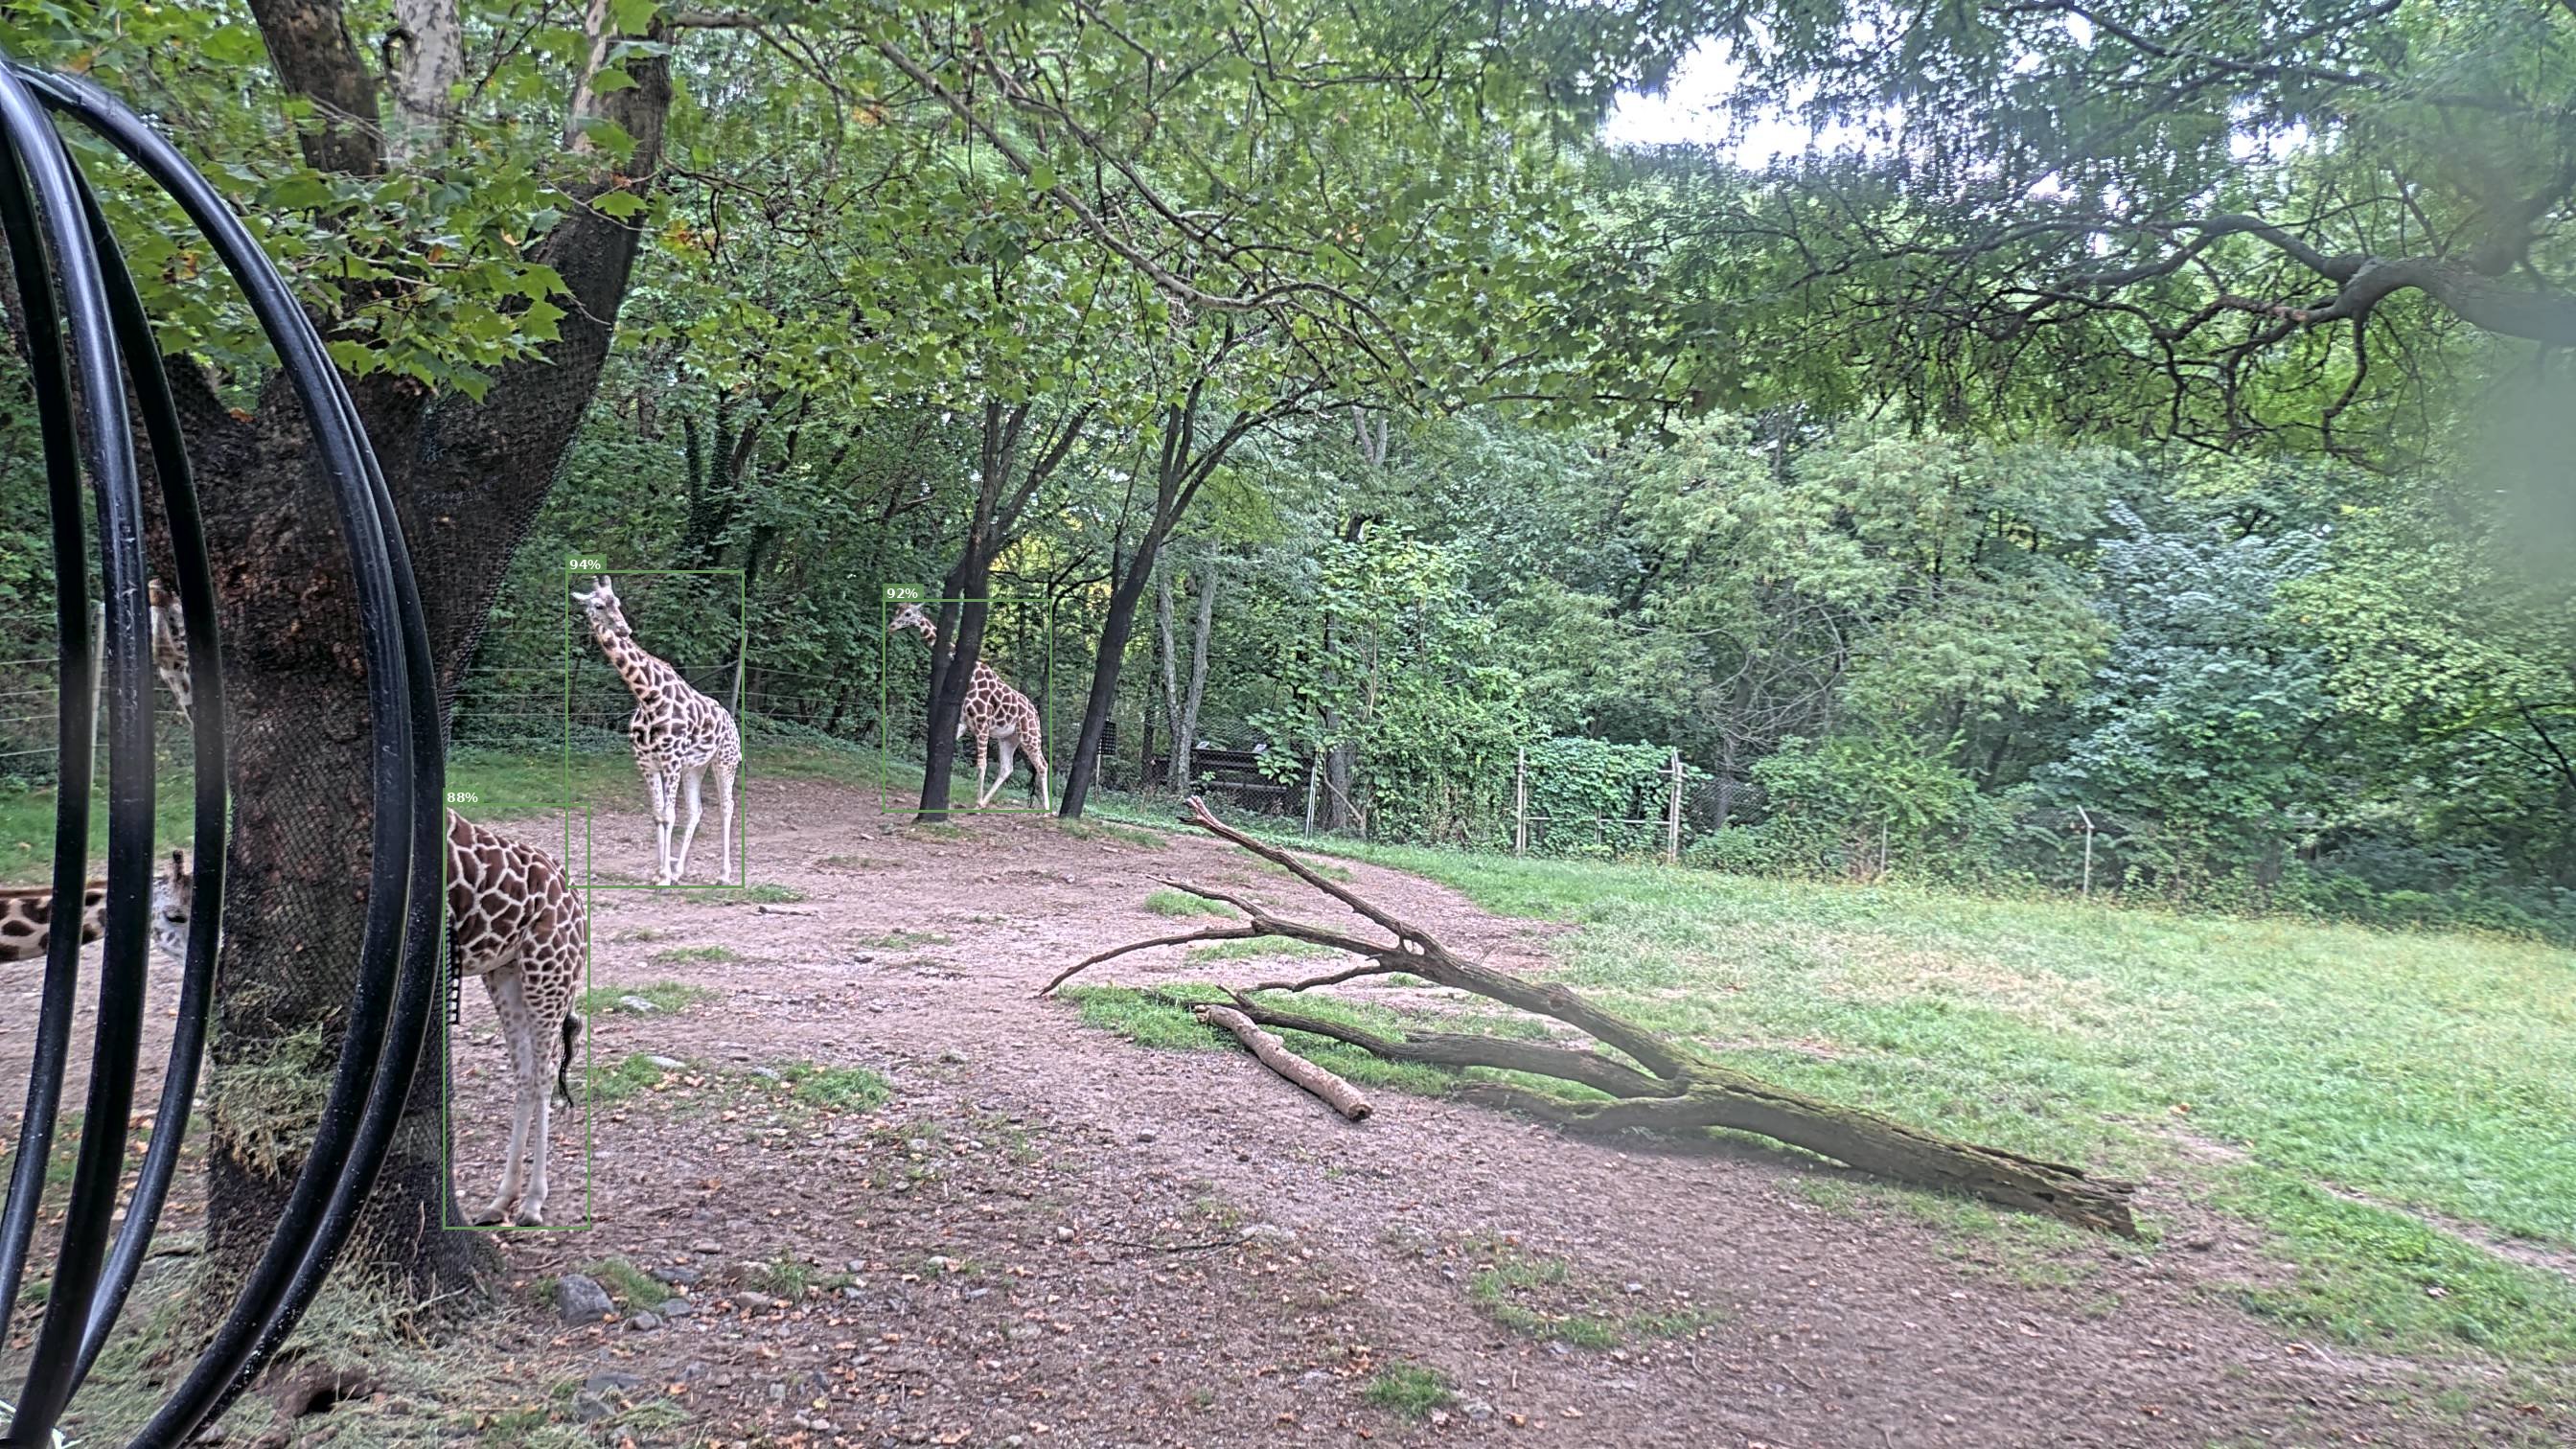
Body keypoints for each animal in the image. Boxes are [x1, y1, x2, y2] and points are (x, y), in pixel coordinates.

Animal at [446, 808, 587, 1227]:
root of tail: (578, 899)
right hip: (505, 974)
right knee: (525, 1073)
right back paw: (502, 1199)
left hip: (549, 971)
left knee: (544, 1074)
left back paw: (532, 1202)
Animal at [573, 576, 741, 885]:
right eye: (599, 605)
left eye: (618, 602)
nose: (624, 629)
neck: (648, 696)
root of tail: (732, 723)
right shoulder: (648, 763)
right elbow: (658, 815)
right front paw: (660, 872)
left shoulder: (670, 761)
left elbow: (668, 814)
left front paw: (663, 876)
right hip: (695, 767)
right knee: (696, 810)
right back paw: (679, 870)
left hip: (725, 762)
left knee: (727, 806)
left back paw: (724, 875)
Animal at [888, 601, 1051, 809]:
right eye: (897, 610)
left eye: (908, 613)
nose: (891, 626)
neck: (972, 677)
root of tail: (1036, 715)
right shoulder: (964, 723)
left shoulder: (982, 724)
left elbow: (981, 765)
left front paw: (975, 802)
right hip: (1009, 738)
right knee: (1007, 768)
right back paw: (984, 803)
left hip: (1030, 736)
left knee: (1042, 765)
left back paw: (1046, 809)